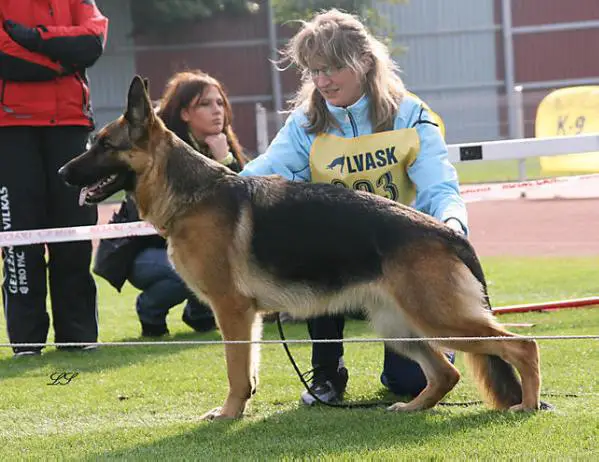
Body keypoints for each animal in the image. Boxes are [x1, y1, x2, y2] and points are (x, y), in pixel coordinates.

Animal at [61, 77, 544, 420]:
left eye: (104, 144)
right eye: (92, 143)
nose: (63, 172)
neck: (192, 194)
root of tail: (450, 234)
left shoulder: (231, 310)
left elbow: (235, 370)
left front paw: (229, 414)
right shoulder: (247, 316)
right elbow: (248, 368)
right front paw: (240, 406)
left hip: (438, 319)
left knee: (523, 345)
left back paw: (527, 404)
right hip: (400, 325)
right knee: (448, 371)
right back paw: (412, 407)